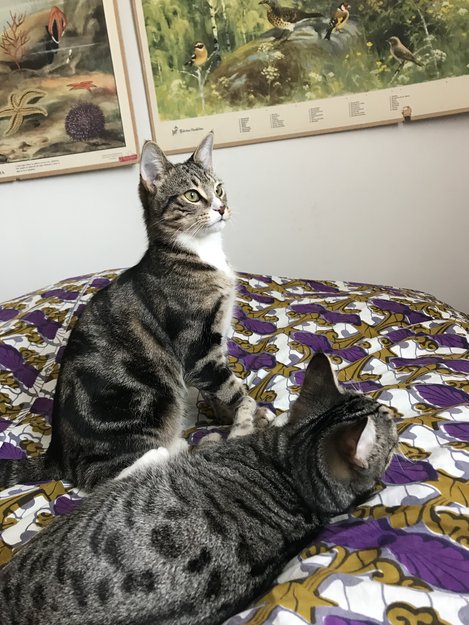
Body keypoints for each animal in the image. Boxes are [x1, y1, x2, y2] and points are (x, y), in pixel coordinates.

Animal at [0, 132, 268, 492]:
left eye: (220, 188)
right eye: (192, 195)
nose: (222, 207)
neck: (199, 254)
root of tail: (57, 455)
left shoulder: (213, 348)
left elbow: (219, 392)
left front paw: (232, 417)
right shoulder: (197, 347)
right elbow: (233, 388)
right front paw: (251, 415)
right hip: (138, 405)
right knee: (105, 475)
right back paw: (189, 447)